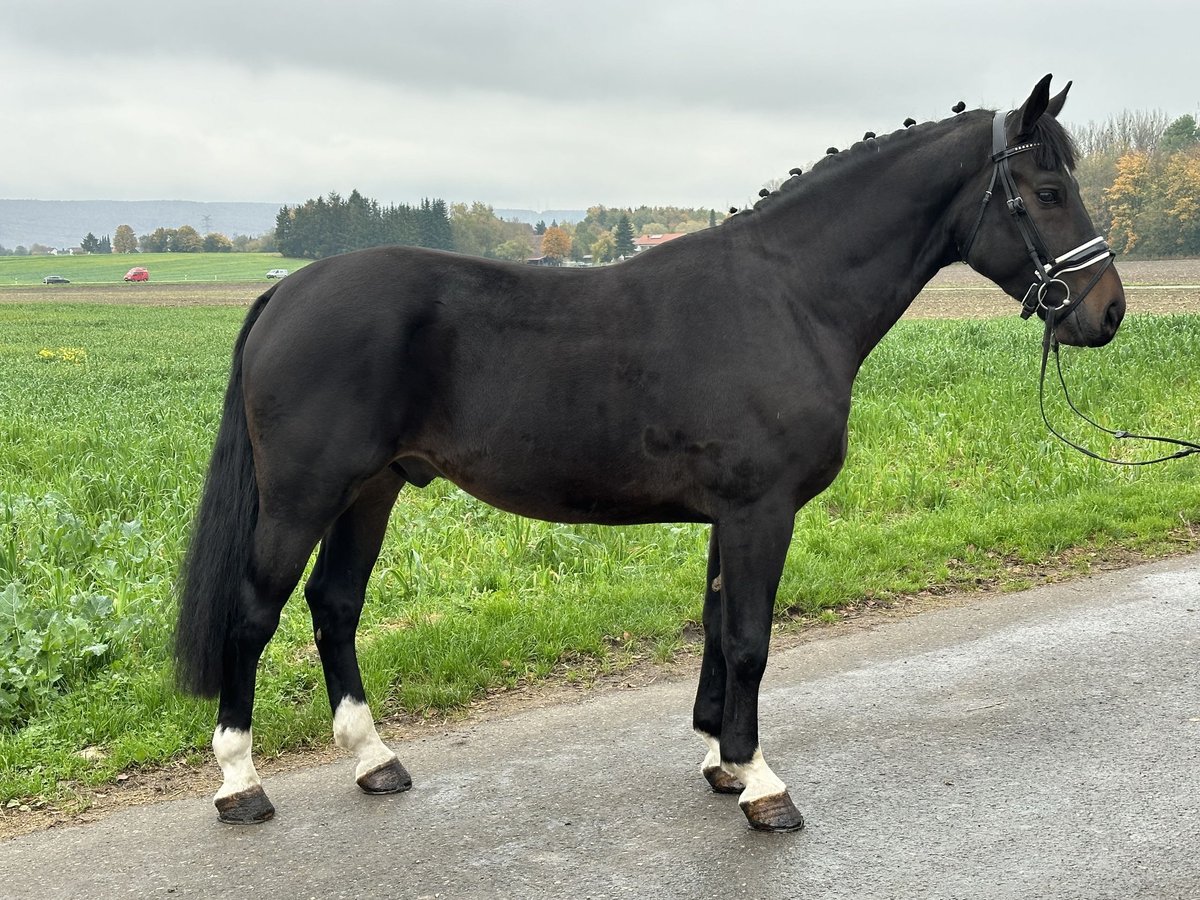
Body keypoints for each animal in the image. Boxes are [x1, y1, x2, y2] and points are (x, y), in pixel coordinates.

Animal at [175, 75, 1123, 830]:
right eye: (1045, 191)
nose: (1106, 310)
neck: (788, 295)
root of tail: (286, 291)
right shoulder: (758, 511)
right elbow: (750, 640)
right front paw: (763, 785)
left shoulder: (731, 516)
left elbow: (715, 627)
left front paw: (721, 762)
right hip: (303, 496)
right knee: (254, 614)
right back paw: (240, 783)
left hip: (372, 490)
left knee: (334, 606)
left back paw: (374, 761)